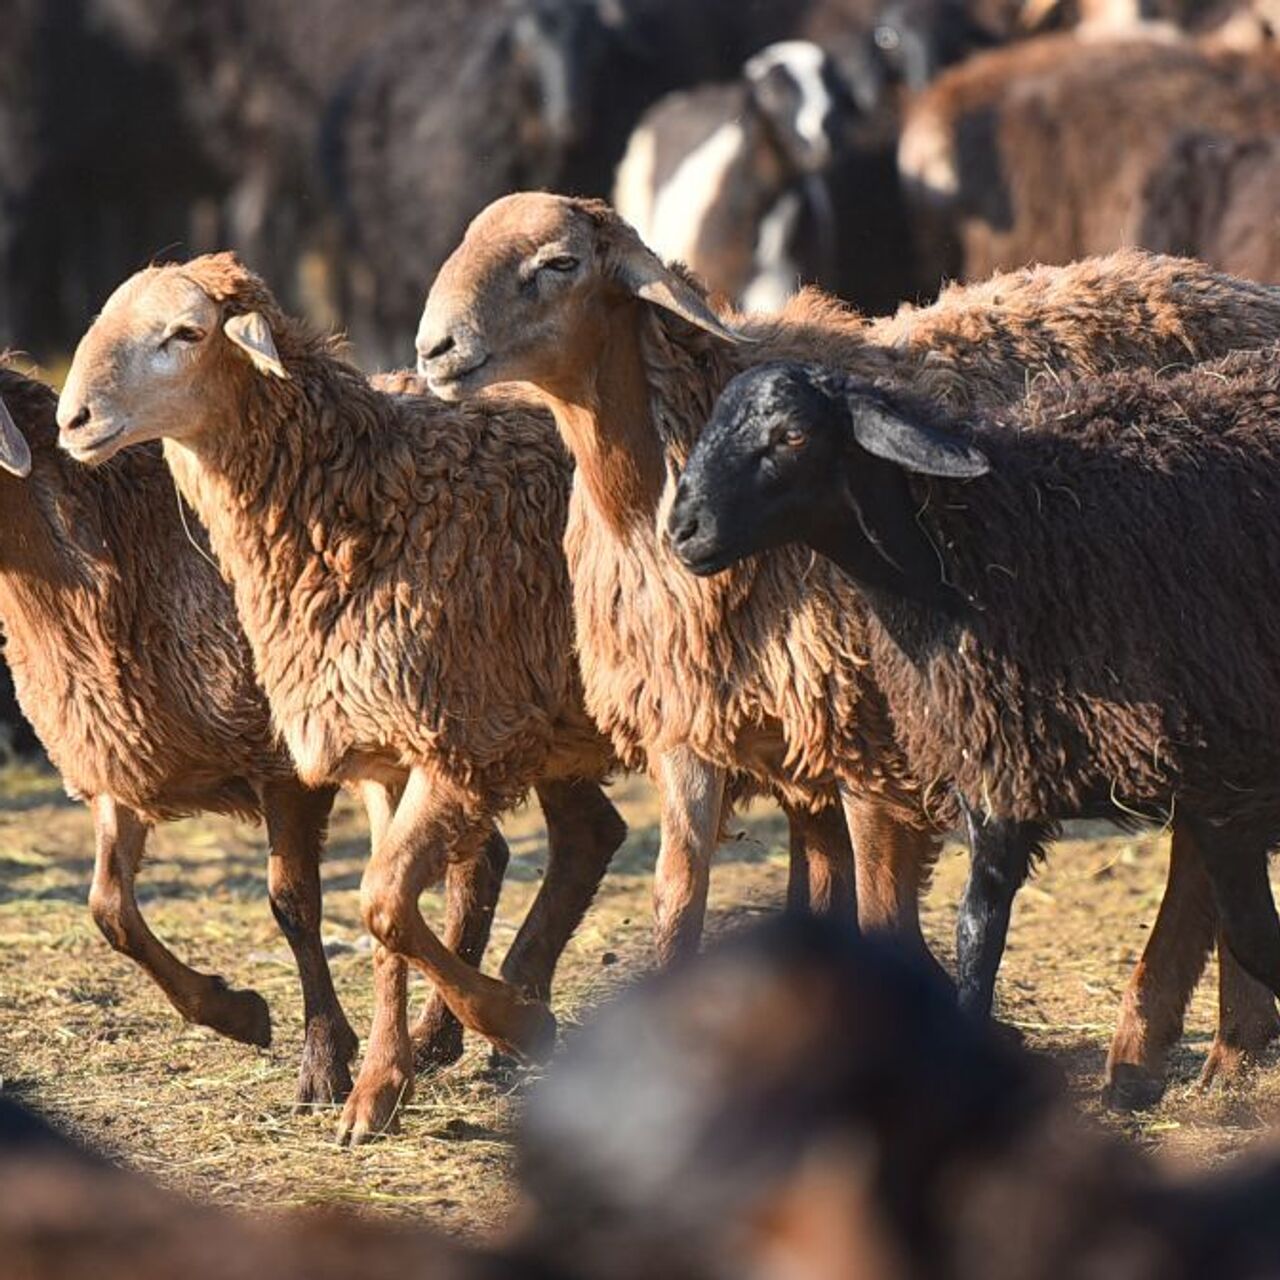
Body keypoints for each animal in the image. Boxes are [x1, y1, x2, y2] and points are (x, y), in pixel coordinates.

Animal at [0, 366, 355, 1105]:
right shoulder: (119, 764)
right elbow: (109, 910)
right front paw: (237, 1012)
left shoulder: (285, 765)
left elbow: (294, 906)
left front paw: (325, 1064)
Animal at [52, 254, 632, 1146]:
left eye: (185, 332)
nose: (72, 418)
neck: (367, 502)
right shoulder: (382, 753)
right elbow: (384, 923)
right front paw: (380, 1090)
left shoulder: (453, 740)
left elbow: (384, 904)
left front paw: (507, 1024)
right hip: (552, 721)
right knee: (592, 836)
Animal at [419, 192, 1280, 1100]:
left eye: (559, 263)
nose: (433, 350)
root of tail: (1240, 289)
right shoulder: (692, 727)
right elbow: (677, 908)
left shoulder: (875, 739)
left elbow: (880, 916)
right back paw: (1218, 1045)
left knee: (1198, 856)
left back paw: (1164, 1047)